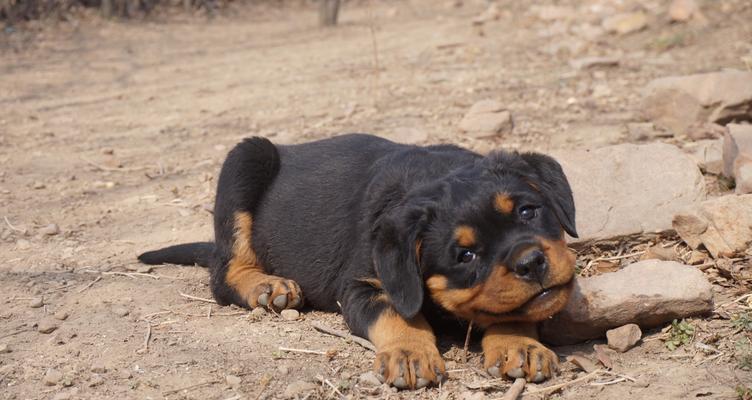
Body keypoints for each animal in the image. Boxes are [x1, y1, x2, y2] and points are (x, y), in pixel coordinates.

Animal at [140, 133, 576, 390]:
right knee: (223, 272)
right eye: (465, 255)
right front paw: (409, 353)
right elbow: (398, 315)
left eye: (527, 211)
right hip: (245, 158)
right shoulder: (363, 284)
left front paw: (519, 344)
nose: (531, 262)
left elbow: (514, 308)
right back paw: (268, 286)